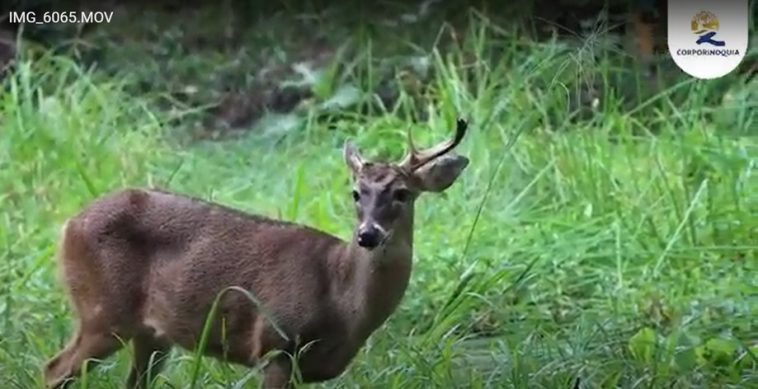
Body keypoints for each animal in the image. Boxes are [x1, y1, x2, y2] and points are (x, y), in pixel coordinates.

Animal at [43, 119, 470, 388]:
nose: (367, 235)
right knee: (52, 369)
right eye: (355, 193)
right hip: (103, 312)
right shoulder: (274, 345)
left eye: (402, 193)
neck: (342, 299)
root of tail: (68, 225)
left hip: (151, 334)